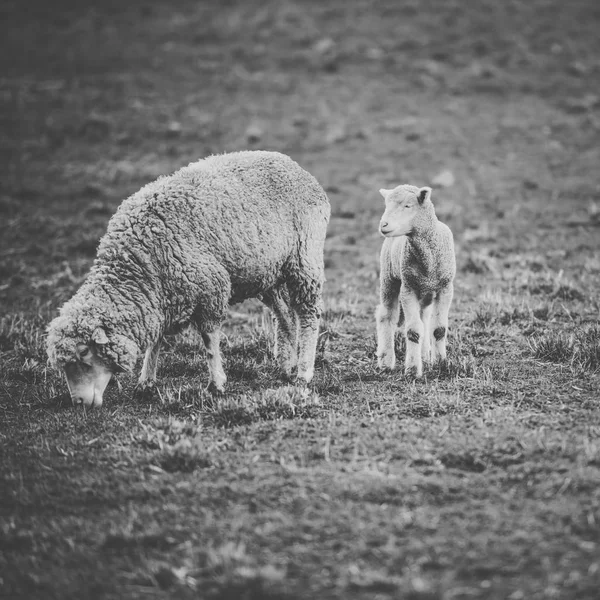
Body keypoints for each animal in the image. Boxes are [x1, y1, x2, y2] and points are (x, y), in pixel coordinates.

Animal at [45, 150, 332, 408]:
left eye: (84, 352)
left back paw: (304, 372)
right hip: (268, 272)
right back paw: (287, 365)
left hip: (304, 258)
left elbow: (209, 340)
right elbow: (155, 341)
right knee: (285, 316)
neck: (139, 262)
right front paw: (146, 382)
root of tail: (295, 166)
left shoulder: (210, 287)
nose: (78, 402)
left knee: (308, 314)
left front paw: (216, 384)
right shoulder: (161, 296)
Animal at [376, 185, 454, 378]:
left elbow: (439, 329)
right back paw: (386, 361)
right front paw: (412, 370)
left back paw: (425, 356)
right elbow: (413, 331)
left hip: (425, 292)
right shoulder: (408, 288)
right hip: (389, 278)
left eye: (408, 206)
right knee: (386, 316)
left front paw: (440, 364)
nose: (383, 225)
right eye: (386, 205)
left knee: (424, 317)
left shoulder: (445, 288)